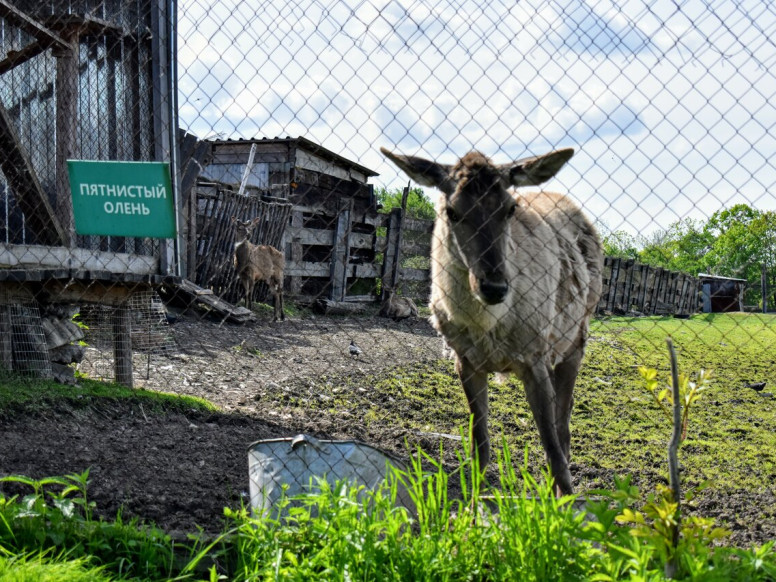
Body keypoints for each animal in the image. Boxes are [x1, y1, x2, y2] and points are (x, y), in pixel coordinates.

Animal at [378, 146, 604, 498]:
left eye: (510, 208)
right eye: (452, 211)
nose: (495, 287)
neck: (488, 326)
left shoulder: (535, 356)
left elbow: (552, 446)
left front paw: (566, 504)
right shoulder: (465, 360)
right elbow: (480, 446)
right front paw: (474, 505)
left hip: (575, 340)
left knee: (564, 427)